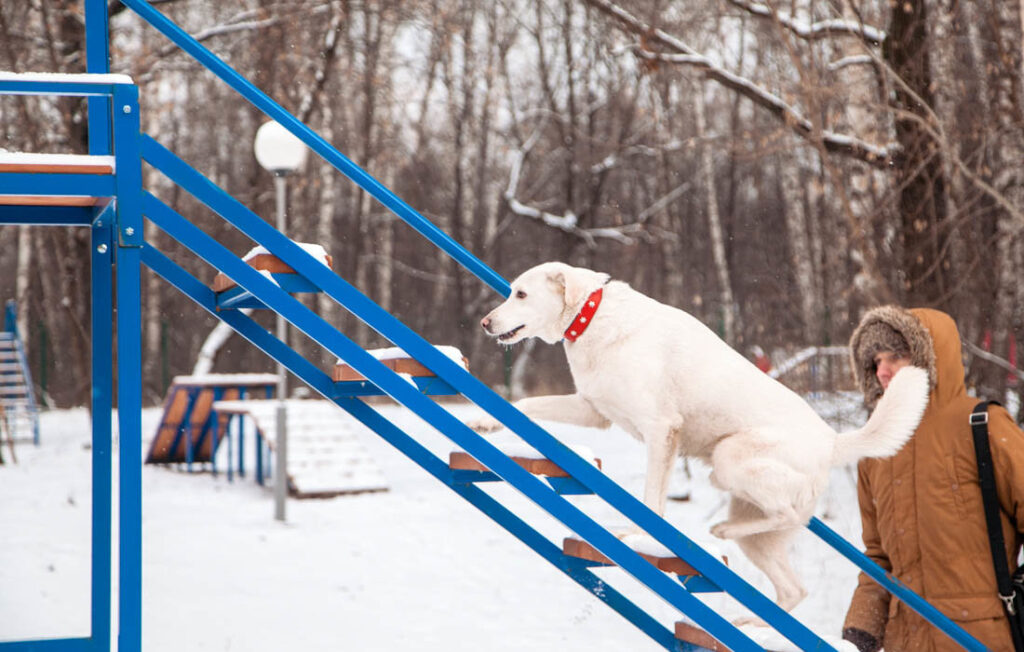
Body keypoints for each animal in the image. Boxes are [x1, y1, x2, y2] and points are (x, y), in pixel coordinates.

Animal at [471, 262, 929, 614]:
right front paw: (485, 423)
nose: (485, 323)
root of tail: (832, 441)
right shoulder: (593, 410)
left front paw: (638, 535)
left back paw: (722, 530)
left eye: (521, 294)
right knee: (792, 588)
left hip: (730, 459)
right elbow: (527, 404)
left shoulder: (661, 430)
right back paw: (750, 618)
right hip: (757, 536)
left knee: (782, 514)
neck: (593, 320)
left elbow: (650, 501)